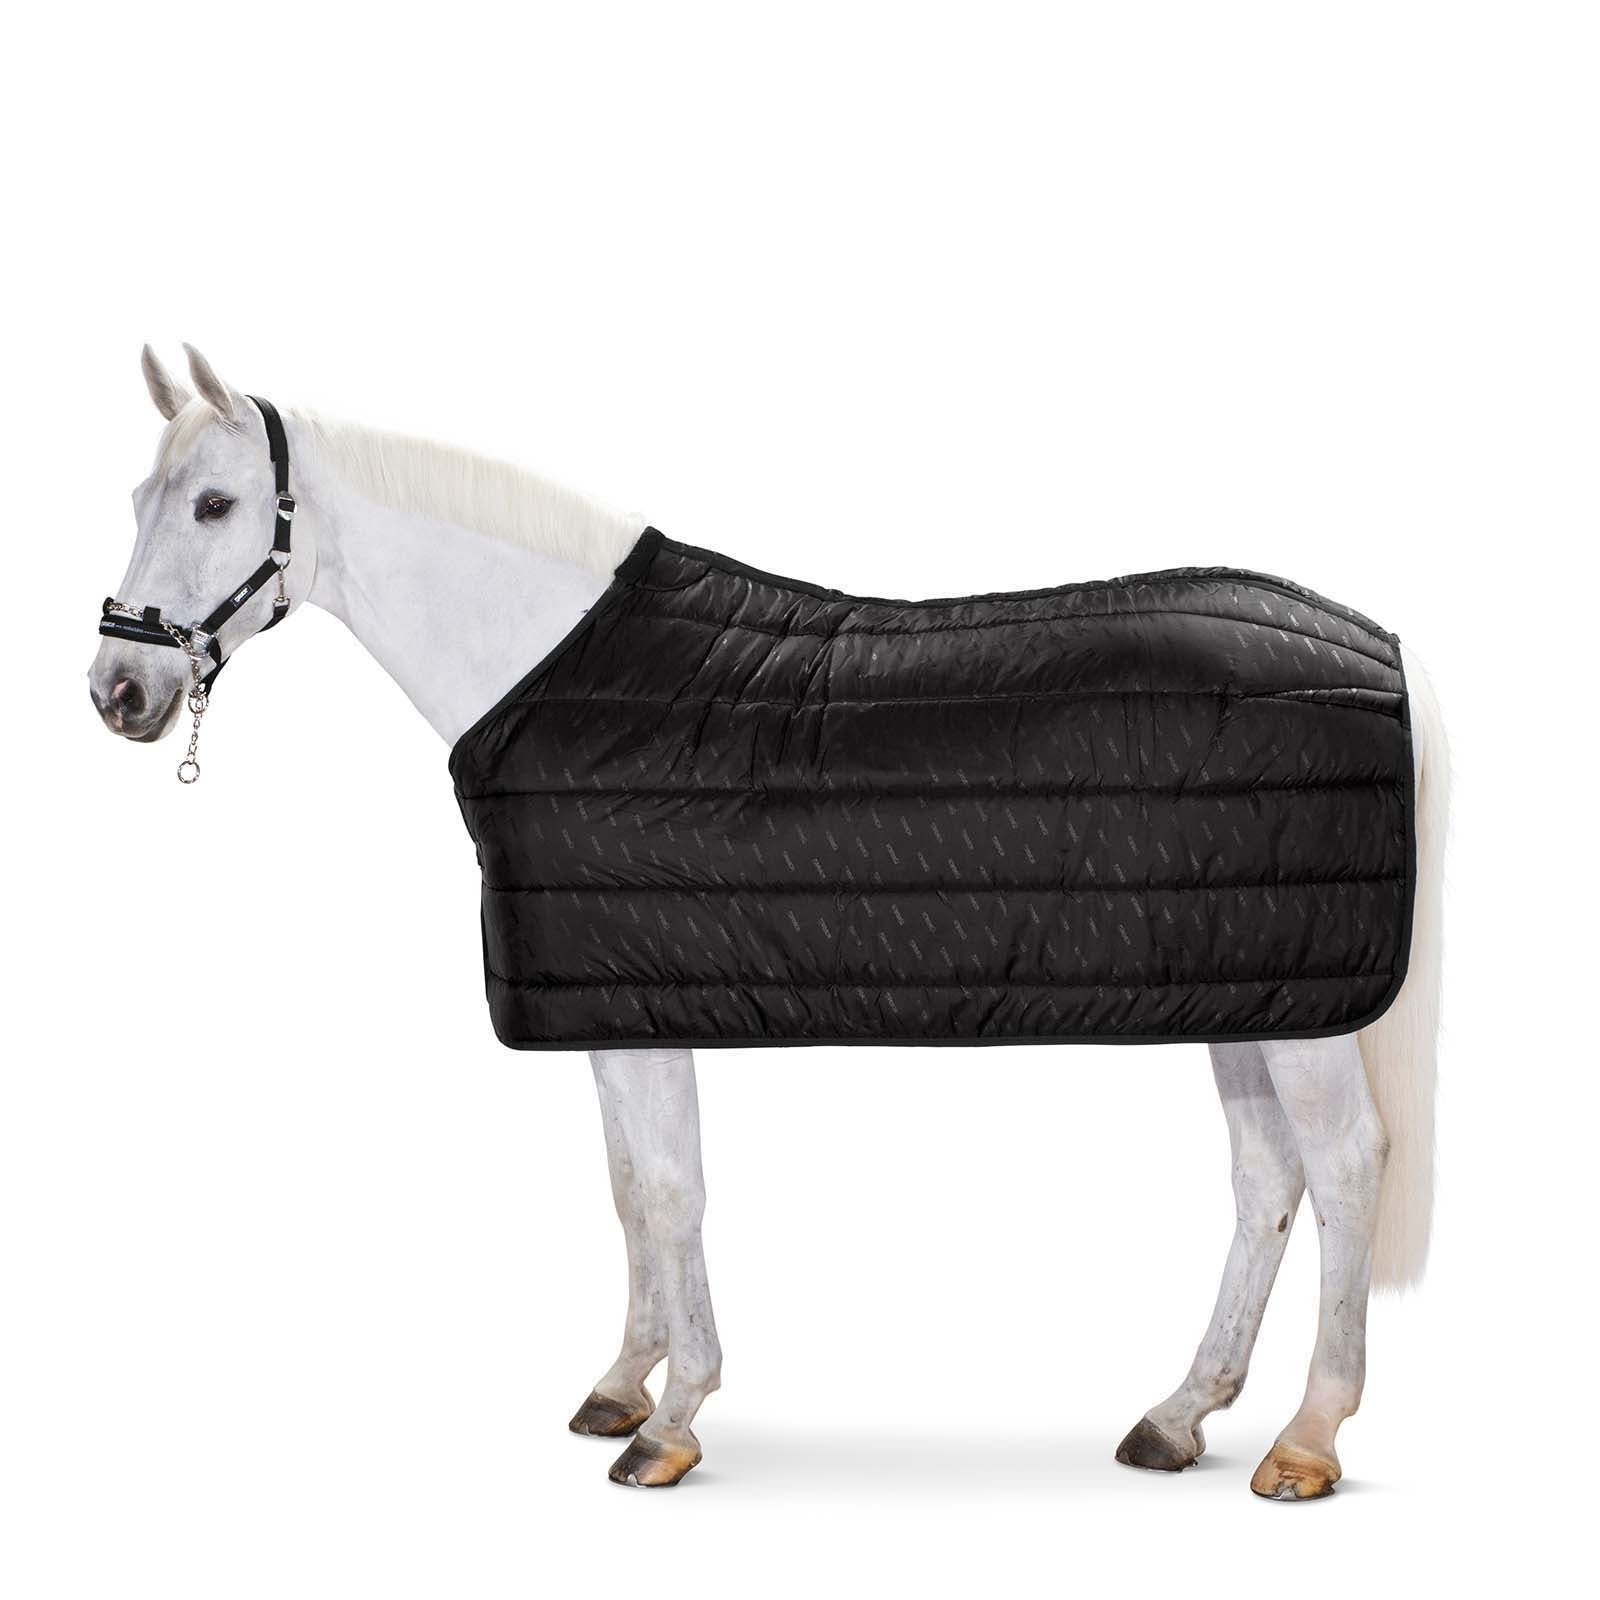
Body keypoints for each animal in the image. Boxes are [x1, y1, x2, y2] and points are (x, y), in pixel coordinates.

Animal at [89, 345, 1448, 1498]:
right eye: (141, 496)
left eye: (214, 505)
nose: (119, 690)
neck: (552, 666)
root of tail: (1381, 651)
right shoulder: (611, 1002)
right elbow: (630, 1190)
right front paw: (621, 1383)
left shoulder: (642, 1006)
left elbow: (673, 1189)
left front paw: (671, 1422)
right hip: (1251, 990)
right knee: (1267, 1178)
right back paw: (1179, 1415)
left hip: (1305, 1014)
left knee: (1341, 1166)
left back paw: (1307, 1439)